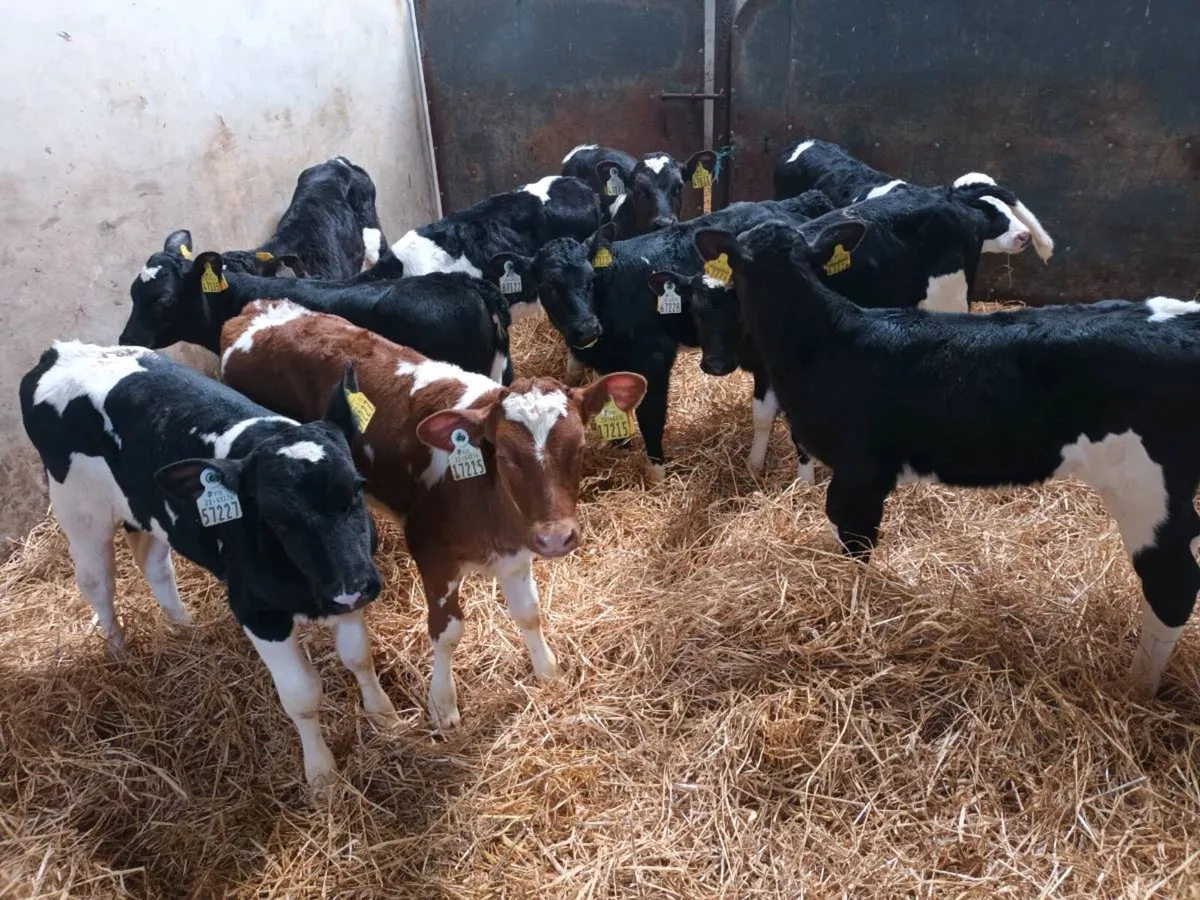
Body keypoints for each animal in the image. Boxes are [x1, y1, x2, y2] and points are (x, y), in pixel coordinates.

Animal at [20, 341, 390, 786]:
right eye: (275, 516)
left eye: (356, 489)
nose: (352, 585)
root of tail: (60, 351)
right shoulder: (258, 611)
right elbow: (301, 695)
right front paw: (321, 774)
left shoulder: (345, 588)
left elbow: (358, 656)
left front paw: (384, 716)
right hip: (80, 514)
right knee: (98, 584)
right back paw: (120, 653)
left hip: (150, 512)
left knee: (154, 564)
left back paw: (186, 629)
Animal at [219, 300, 647, 731]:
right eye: (505, 455)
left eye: (579, 446)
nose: (556, 538)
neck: (484, 495)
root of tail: (259, 311)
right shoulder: (433, 555)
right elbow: (448, 632)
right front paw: (443, 704)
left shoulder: (517, 549)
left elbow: (529, 614)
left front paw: (548, 672)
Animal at [695, 217, 1200, 698]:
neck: (826, 341)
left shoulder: (861, 469)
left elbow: (855, 538)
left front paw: (853, 607)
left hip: (1144, 487)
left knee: (1173, 584)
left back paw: (1136, 688)